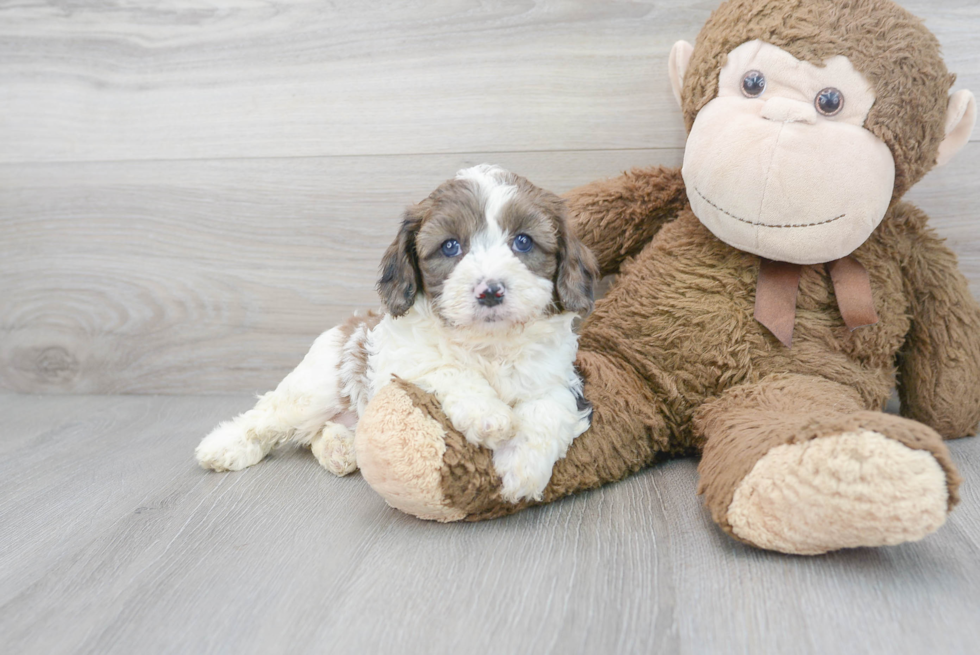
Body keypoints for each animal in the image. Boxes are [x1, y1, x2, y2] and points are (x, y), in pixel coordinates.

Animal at [196, 164, 600, 502]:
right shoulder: (404, 363)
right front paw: (489, 416)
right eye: (450, 246)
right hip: (316, 388)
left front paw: (521, 468)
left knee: (314, 433)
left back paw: (339, 447)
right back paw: (223, 446)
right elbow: (449, 370)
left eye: (523, 241)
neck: (487, 344)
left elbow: (548, 410)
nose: (490, 291)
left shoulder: (560, 378)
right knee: (269, 415)